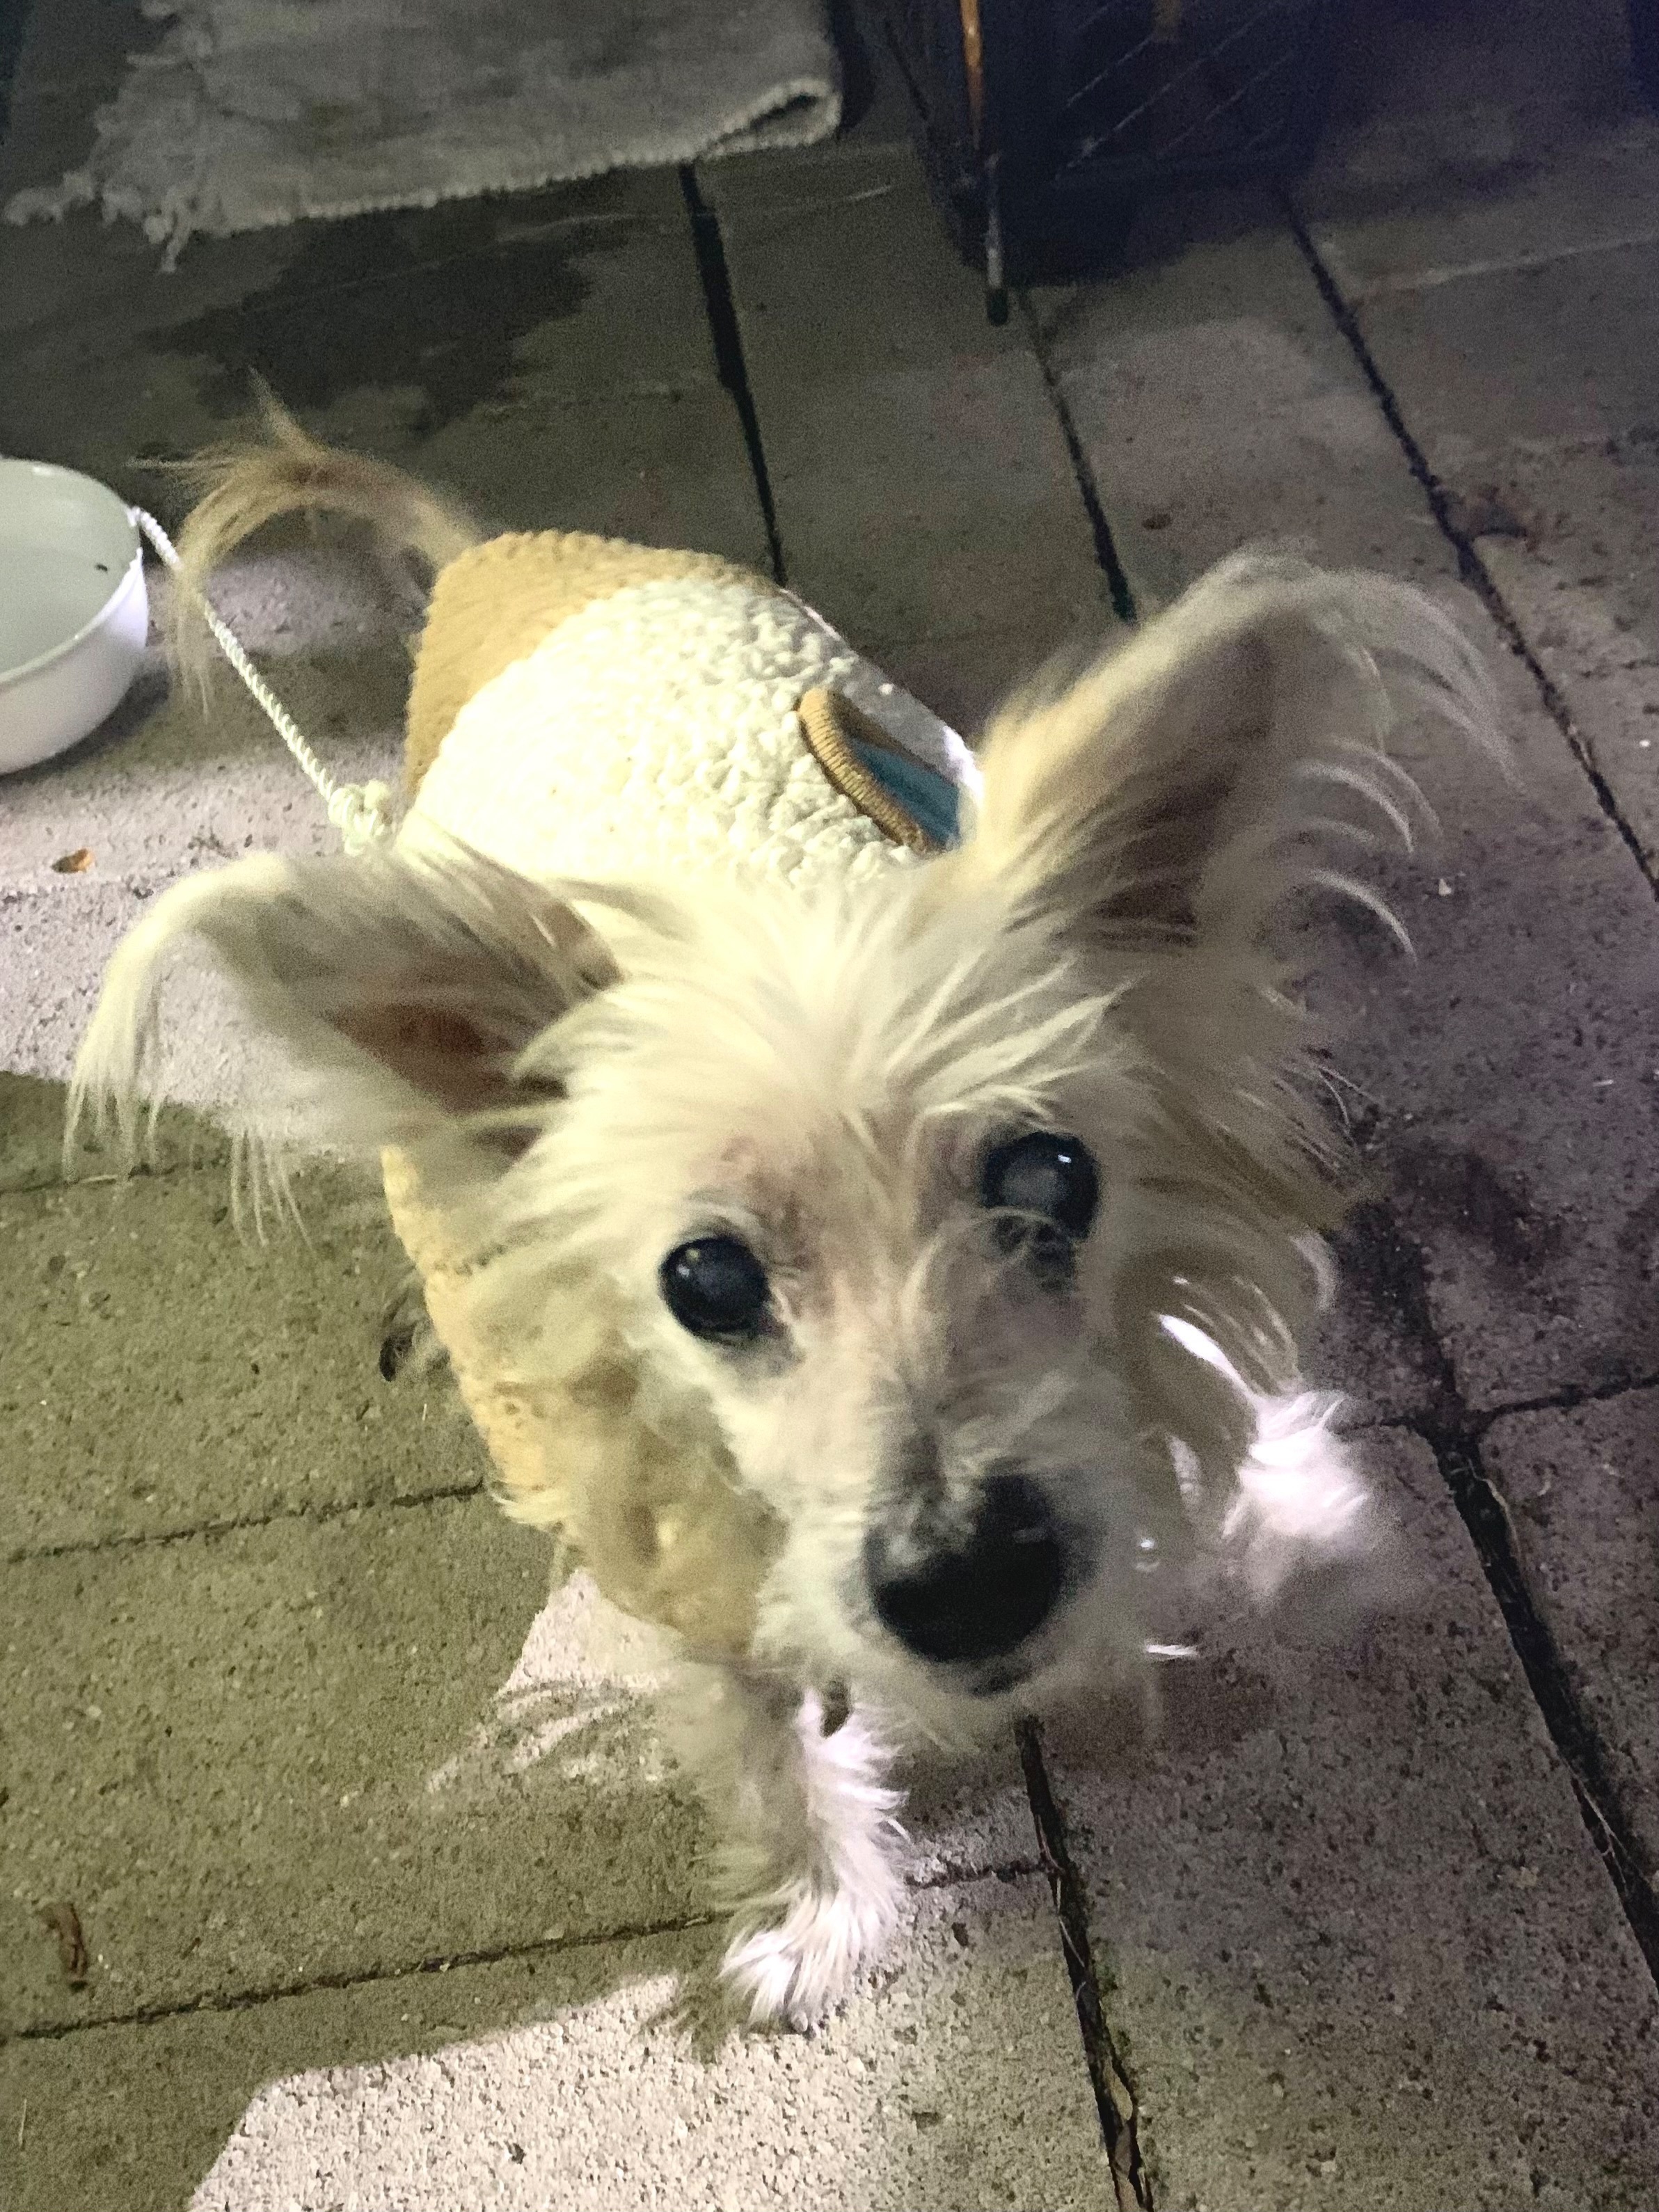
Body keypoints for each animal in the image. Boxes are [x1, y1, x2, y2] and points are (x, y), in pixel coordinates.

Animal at [72, 411, 1497, 2027]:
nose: (968, 1581)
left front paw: (1305, 1541)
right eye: (703, 1280)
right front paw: (816, 1910)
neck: (752, 886)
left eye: (1051, 1180)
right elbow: (760, 1737)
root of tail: (496, 552)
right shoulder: (672, 1535)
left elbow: (1244, 1441)